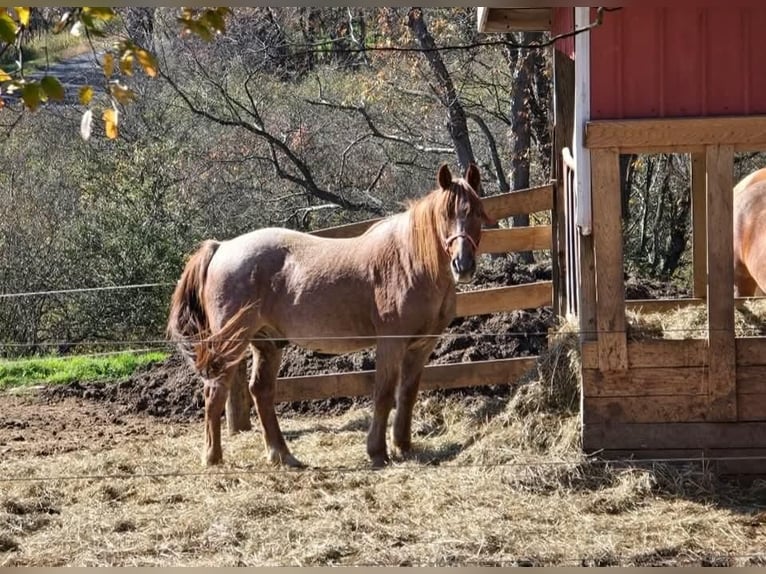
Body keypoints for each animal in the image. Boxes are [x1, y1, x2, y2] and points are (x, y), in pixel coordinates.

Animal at [166, 163, 498, 468]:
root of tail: (222, 247)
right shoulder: (391, 343)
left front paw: (403, 446)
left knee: (260, 391)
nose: (463, 264)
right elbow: (384, 394)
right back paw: (213, 458)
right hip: (231, 343)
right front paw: (377, 452)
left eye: (476, 213)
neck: (410, 260)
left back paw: (283, 455)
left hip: (267, 344)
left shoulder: (421, 346)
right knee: (215, 392)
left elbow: (408, 393)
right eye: (445, 215)